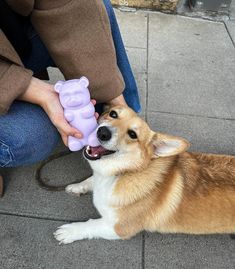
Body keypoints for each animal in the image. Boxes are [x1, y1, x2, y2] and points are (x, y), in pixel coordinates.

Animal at [54, 105, 235, 243]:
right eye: (113, 114)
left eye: (132, 135)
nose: (102, 132)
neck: (123, 173)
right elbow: (89, 180)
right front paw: (77, 187)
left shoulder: (118, 228)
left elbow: (91, 224)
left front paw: (69, 231)